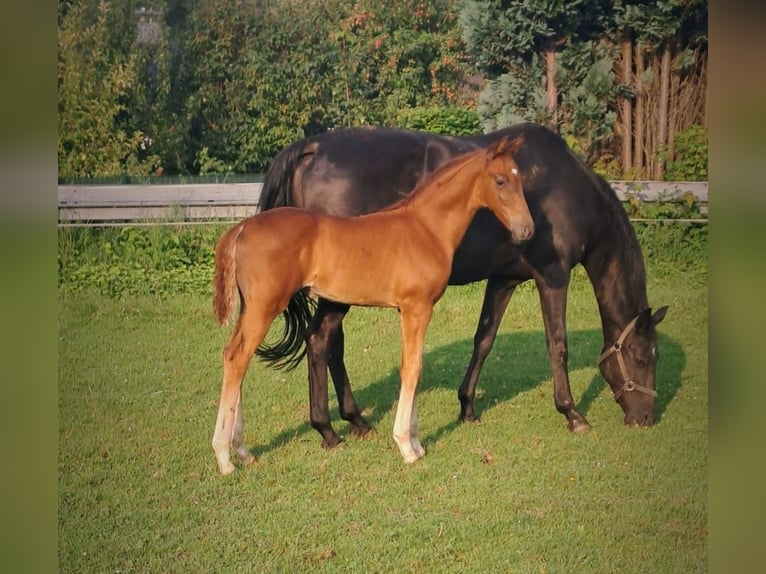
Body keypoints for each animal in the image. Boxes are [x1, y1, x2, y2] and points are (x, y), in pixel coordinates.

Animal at [210, 136, 536, 476]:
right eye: (500, 181)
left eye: (520, 179)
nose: (527, 229)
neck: (425, 228)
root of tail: (242, 228)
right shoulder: (416, 308)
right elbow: (412, 368)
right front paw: (406, 446)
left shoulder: (412, 310)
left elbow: (415, 366)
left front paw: (417, 444)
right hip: (265, 306)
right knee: (237, 358)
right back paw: (225, 457)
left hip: (251, 307)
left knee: (236, 356)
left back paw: (243, 450)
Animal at [256, 122, 664, 450]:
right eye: (642, 358)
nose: (646, 418)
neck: (567, 190)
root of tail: (314, 147)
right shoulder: (553, 276)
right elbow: (557, 345)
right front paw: (572, 414)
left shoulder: (504, 279)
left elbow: (484, 340)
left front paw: (467, 406)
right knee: (320, 340)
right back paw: (329, 429)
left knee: (330, 345)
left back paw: (355, 420)